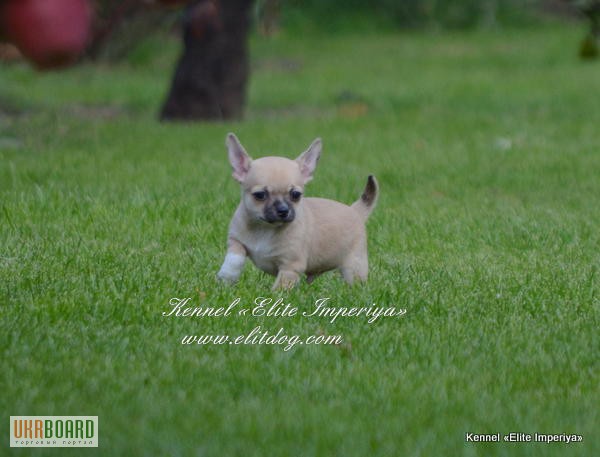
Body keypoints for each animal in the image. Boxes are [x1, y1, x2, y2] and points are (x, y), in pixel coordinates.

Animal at [218, 133, 378, 288]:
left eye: (295, 195)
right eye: (260, 195)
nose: (283, 210)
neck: (265, 229)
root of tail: (355, 210)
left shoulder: (290, 267)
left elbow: (281, 286)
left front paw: (275, 295)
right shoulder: (236, 241)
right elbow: (234, 258)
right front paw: (226, 278)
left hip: (354, 265)